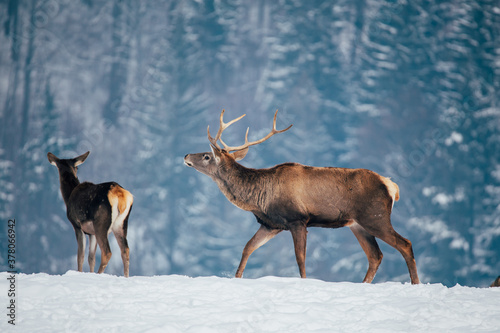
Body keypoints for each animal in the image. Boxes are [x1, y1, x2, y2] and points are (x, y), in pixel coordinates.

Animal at [184, 109, 418, 282]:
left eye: (206, 156)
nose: (186, 155)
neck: (259, 199)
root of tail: (391, 186)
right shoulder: (271, 224)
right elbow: (248, 247)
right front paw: (237, 278)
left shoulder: (298, 219)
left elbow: (300, 258)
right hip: (357, 224)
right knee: (375, 256)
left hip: (375, 217)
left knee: (405, 244)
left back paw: (415, 283)